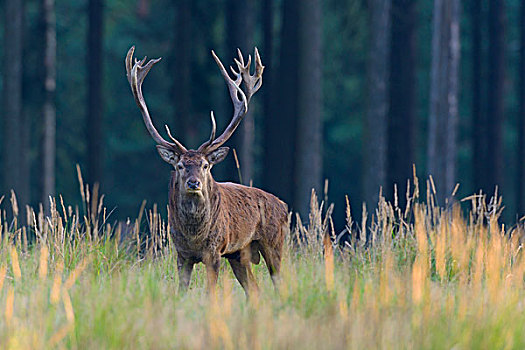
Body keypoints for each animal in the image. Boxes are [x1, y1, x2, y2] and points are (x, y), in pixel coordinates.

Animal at [125, 46, 288, 296]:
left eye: (205, 165)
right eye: (180, 165)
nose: (194, 183)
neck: (195, 237)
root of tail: (284, 206)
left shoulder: (214, 251)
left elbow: (211, 291)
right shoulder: (181, 254)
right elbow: (181, 290)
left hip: (274, 242)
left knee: (279, 282)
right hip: (239, 254)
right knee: (254, 289)